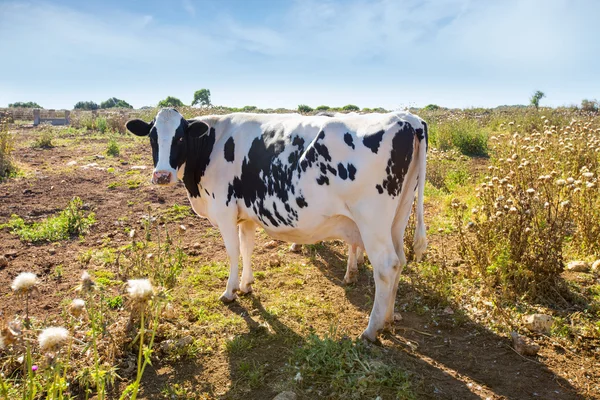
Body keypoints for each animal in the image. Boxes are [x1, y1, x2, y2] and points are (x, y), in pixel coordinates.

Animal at [125, 108, 426, 340]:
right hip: (397, 219)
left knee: (386, 266)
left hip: (372, 221)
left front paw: (230, 291)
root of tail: (406, 118)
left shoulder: (224, 210)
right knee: (400, 261)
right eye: (152, 137)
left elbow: (233, 252)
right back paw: (388, 318)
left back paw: (371, 329)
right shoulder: (245, 215)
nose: (162, 175)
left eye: (179, 137)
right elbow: (247, 248)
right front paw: (246, 285)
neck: (212, 144)